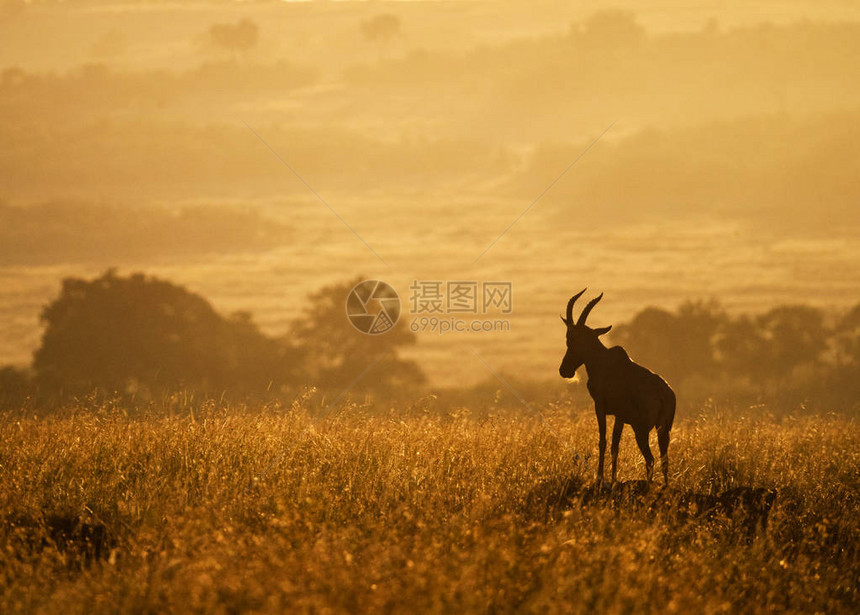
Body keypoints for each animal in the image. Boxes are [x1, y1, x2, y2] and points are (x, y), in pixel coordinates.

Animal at [556, 292, 680, 486]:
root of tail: (664, 395)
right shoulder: (619, 416)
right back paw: (665, 486)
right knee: (664, 459)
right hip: (663, 429)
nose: (564, 370)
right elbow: (616, 445)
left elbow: (603, 441)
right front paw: (613, 478)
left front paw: (600, 478)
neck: (605, 362)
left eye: (575, 339)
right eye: (568, 337)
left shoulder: (600, 406)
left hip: (641, 429)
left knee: (650, 458)